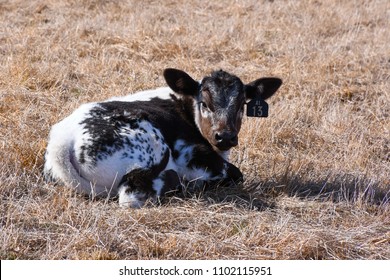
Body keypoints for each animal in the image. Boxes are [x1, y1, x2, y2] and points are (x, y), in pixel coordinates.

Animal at [44, 68, 282, 208]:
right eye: (204, 103)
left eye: (242, 104)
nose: (225, 137)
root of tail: (61, 141)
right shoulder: (192, 154)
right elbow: (236, 173)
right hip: (152, 146)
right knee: (132, 196)